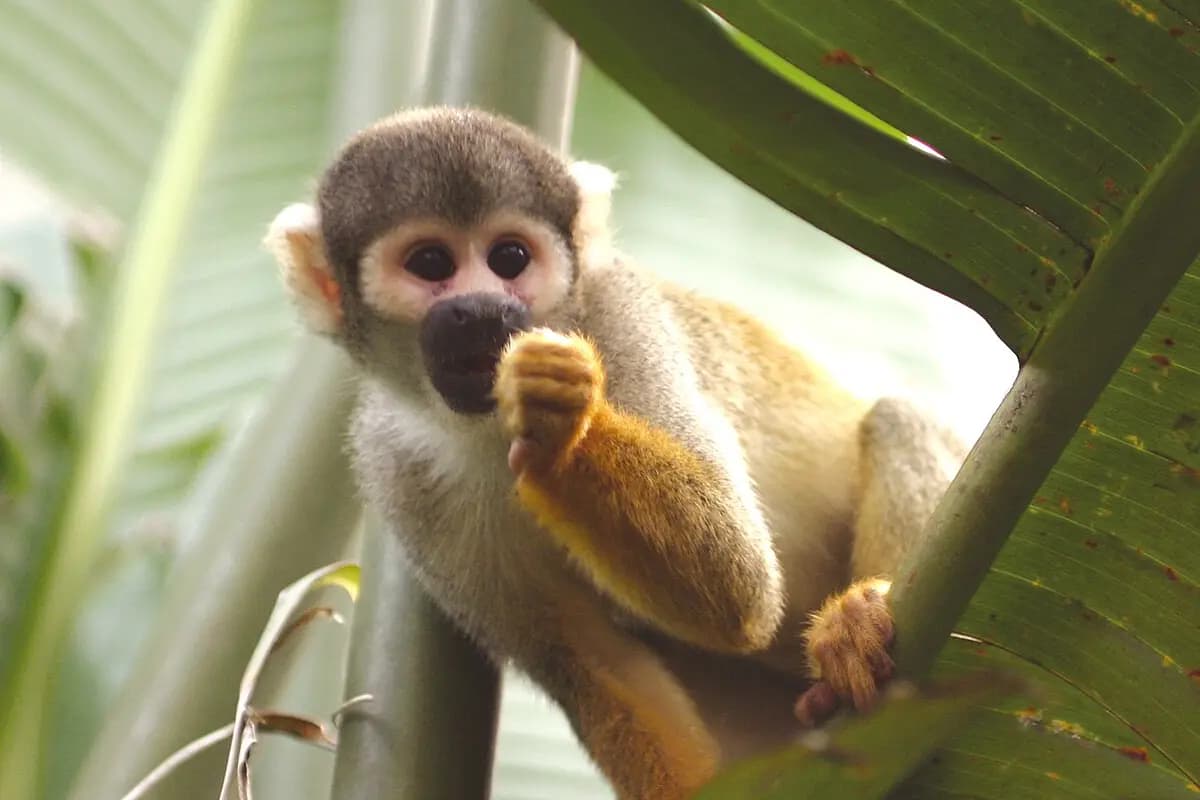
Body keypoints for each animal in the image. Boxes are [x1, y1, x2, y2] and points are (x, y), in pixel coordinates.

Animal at [265, 106, 966, 800]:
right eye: (432, 263)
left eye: (509, 258)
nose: (481, 311)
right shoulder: (393, 466)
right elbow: (591, 658)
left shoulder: (621, 318)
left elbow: (737, 581)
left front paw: (557, 419)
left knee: (900, 421)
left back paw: (860, 624)